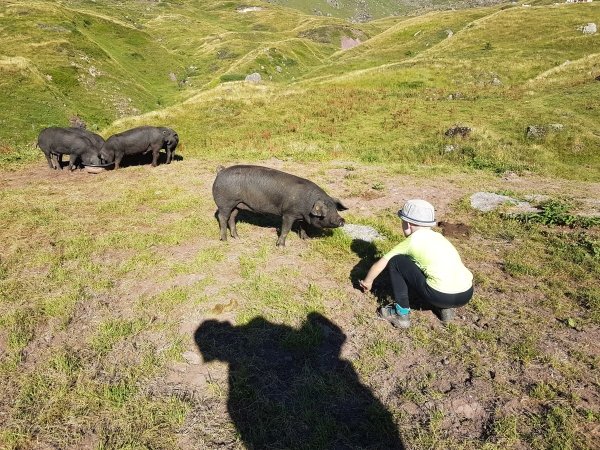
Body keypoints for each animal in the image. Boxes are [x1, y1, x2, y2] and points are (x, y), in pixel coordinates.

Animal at [213, 165, 350, 246]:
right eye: (326, 212)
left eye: (335, 209)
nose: (342, 220)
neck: (308, 205)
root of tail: (221, 171)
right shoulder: (288, 214)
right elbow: (285, 229)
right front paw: (281, 246)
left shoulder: (302, 216)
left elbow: (303, 227)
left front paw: (306, 239)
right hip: (225, 203)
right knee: (222, 217)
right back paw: (224, 240)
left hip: (237, 204)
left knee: (232, 217)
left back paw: (237, 237)